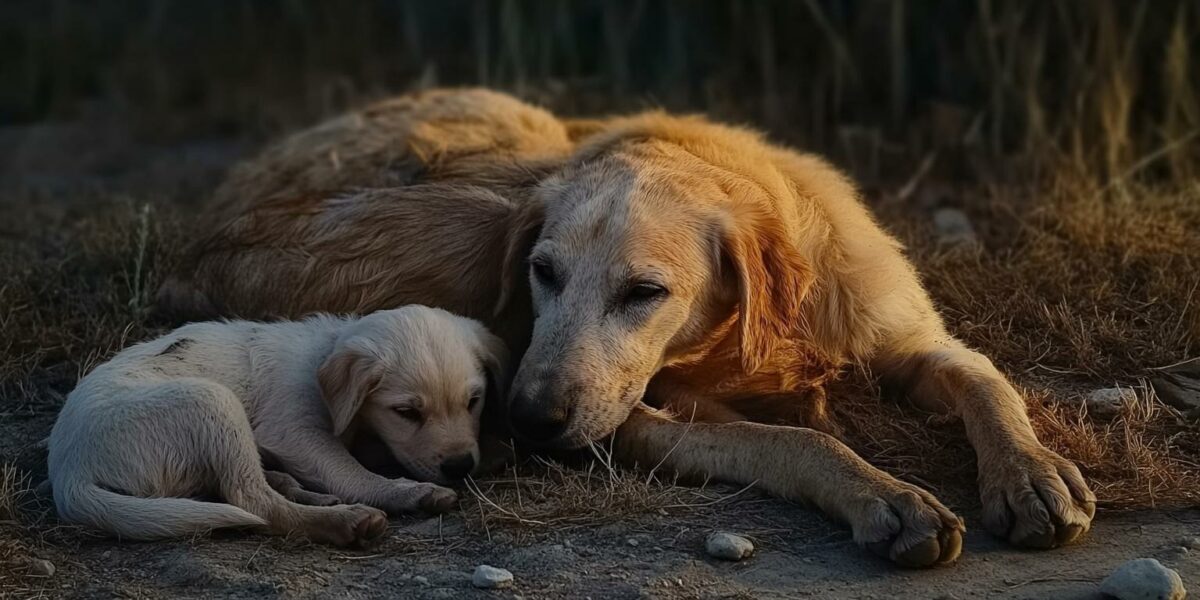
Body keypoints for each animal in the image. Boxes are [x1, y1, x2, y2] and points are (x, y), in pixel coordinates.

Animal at [45, 307, 506, 547]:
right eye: (406, 412)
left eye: (473, 401)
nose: (460, 466)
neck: (323, 355)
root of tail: (68, 473)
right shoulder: (294, 432)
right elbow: (351, 472)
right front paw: (408, 491)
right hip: (210, 401)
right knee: (253, 500)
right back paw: (344, 520)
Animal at [162, 88, 1099, 566]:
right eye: (542, 272)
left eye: (644, 292)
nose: (528, 422)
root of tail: (202, 230)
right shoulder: (642, 418)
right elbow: (797, 442)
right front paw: (886, 495)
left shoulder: (909, 338)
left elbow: (987, 382)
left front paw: (1033, 473)